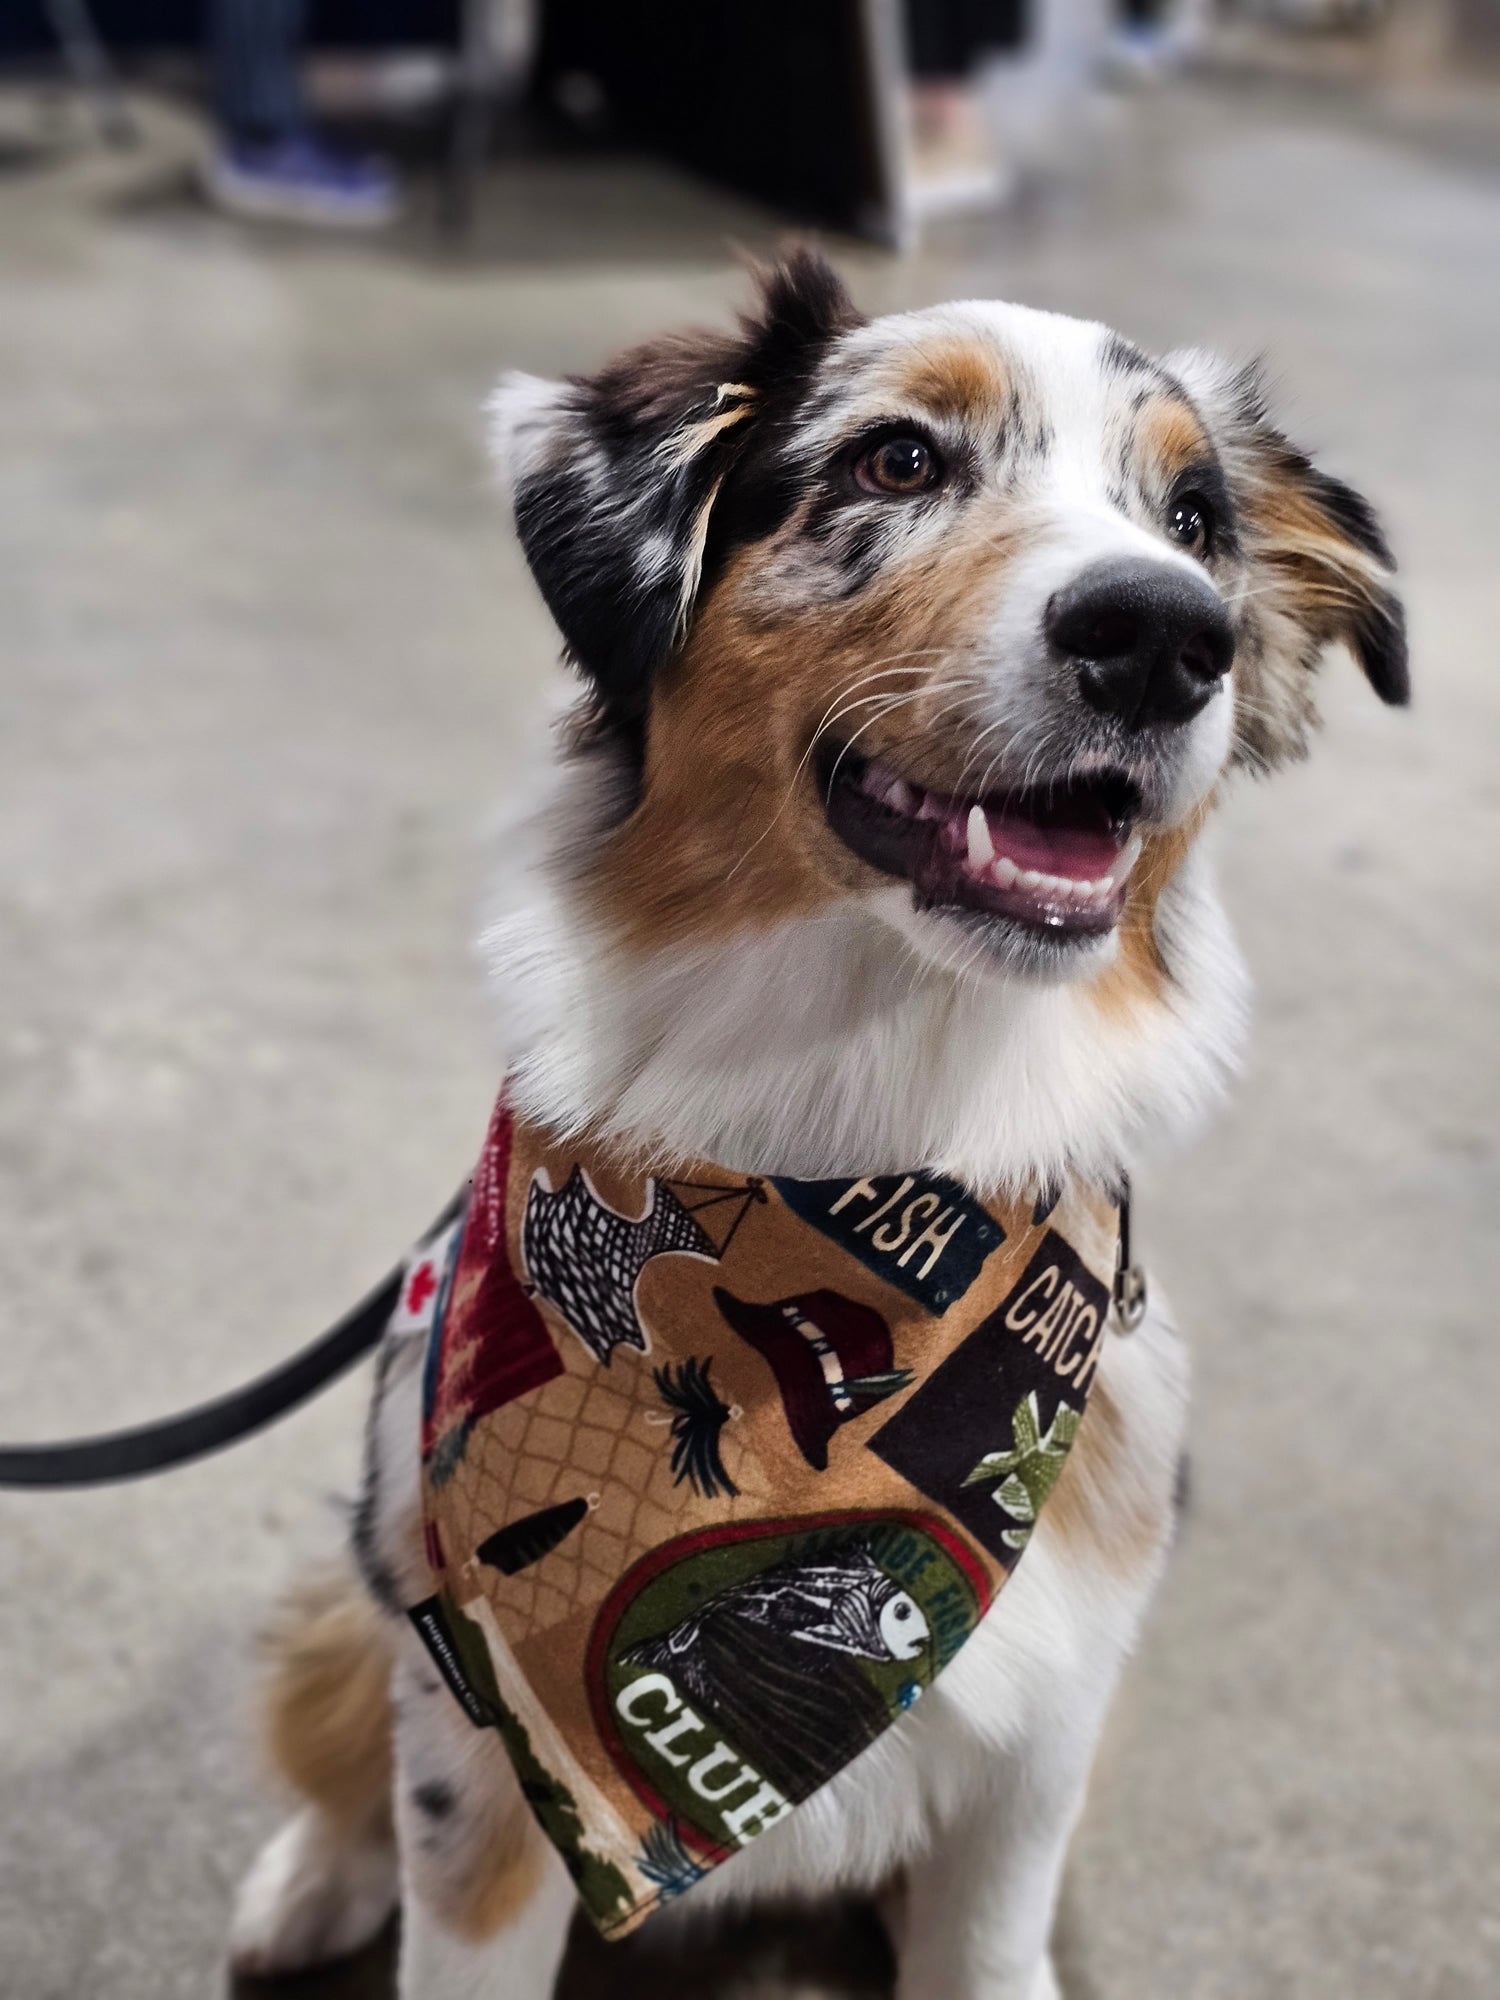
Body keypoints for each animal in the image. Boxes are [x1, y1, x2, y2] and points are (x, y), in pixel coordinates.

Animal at [223, 254, 1408, 2000]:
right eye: (896, 459)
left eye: (1196, 518)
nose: (1164, 635)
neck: (864, 1121)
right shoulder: (481, 1749)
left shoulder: (1043, 1744)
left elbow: (984, 1947)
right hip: (377, 1583)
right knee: (331, 1715)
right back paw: (310, 1879)